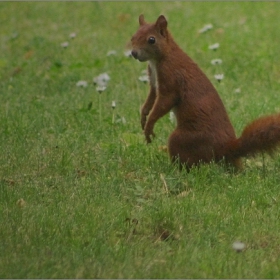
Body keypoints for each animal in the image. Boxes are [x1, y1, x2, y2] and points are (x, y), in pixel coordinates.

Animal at [130, 15, 280, 170]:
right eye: (132, 37)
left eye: (151, 39)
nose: (134, 53)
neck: (160, 58)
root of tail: (225, 148)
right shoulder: (154, 83)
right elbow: (151, 98)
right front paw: (144, 115)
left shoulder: (171, 79)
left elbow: (164, 102)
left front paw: (149, 126)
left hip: (184, 139)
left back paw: (177, 169)